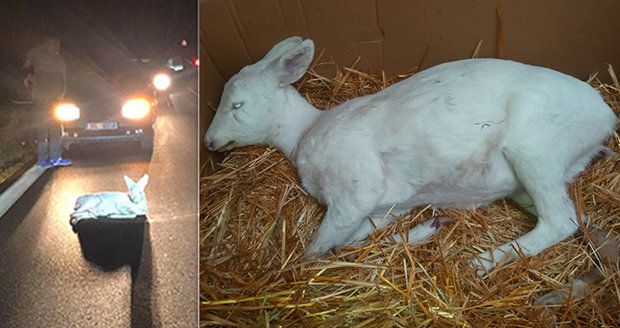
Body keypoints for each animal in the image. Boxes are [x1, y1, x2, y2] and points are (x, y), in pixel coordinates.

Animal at [206, 36, 616, 280]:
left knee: (560, 220)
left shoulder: (356, 190)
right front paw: (430, 226)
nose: (209, 142)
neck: (304, 133)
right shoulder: (383, 209)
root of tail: (606, 118)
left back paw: (481, 262)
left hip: (535, 150)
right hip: (530, 181)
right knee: (575, 216)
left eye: (237, 104)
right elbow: (354, 242)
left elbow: (317, 252)